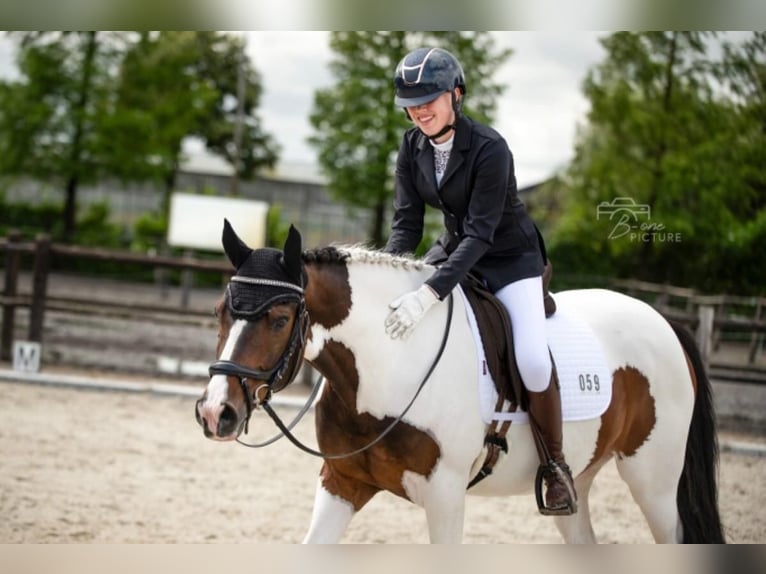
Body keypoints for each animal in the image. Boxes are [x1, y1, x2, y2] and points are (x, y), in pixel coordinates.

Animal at [195, 220, 725, 544]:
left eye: (280, 319)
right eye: (220, 311)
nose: (216, 412)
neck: (388, 368)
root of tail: (664, 322)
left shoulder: (445, 496)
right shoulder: (342, 482)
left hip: (653, 483)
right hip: (585, 478)